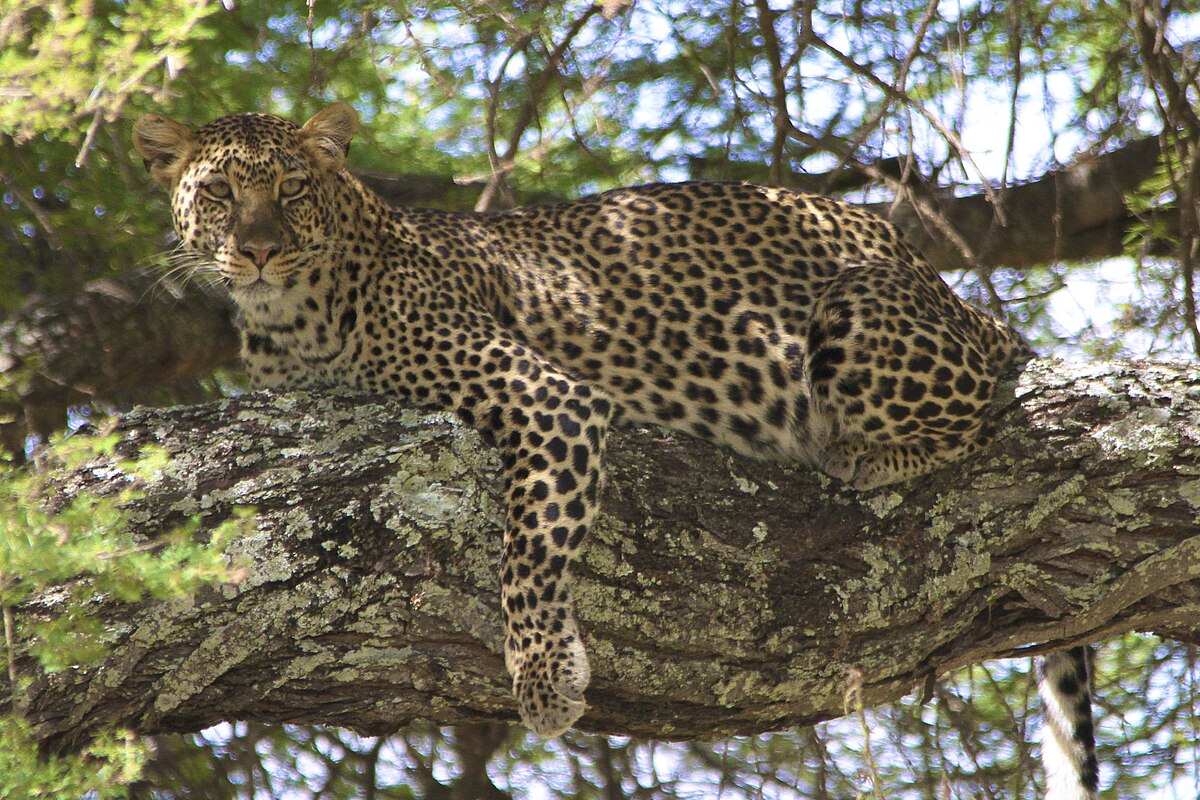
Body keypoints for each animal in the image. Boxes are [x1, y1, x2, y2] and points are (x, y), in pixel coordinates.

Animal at [133, 104, 1089, 782]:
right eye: (218, 194)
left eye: (293, 188)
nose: (258, 250)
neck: (289, 319)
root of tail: (949, 287)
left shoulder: (548, 395)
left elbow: (529, 548)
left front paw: (545, 676)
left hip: (856, 308)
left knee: (976, 400)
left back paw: (863, 450)